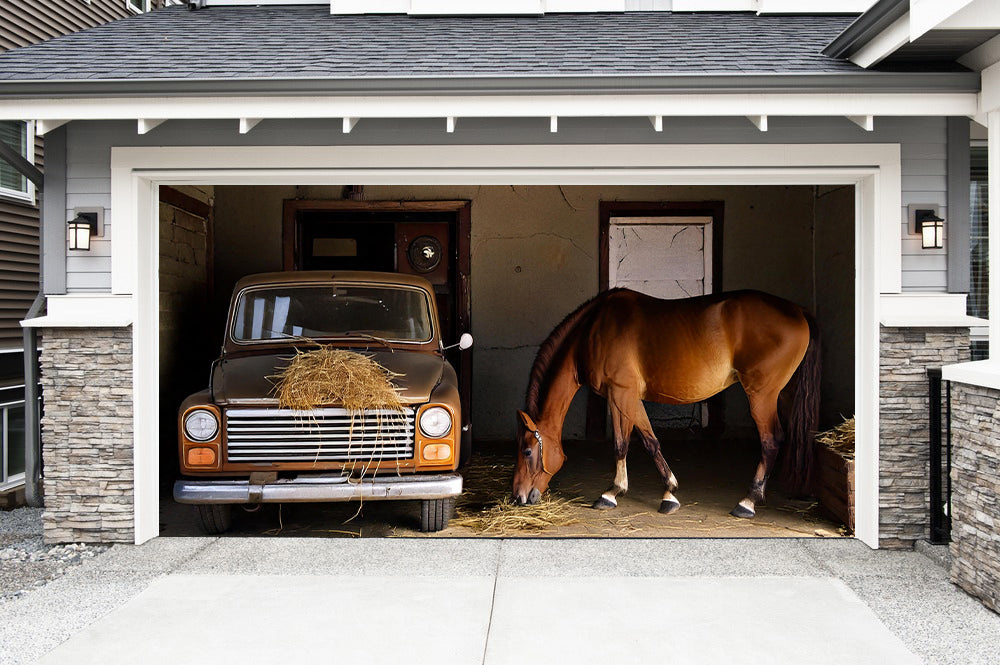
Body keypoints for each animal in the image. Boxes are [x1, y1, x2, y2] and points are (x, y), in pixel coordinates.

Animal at [516, 290, 820, 520]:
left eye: (527, 451)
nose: (519, 497)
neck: (592, 330)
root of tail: (797, 310)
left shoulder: (620, 394)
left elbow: (620, 444)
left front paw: (611, 493)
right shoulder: (631, 398)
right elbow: (650, 442)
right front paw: (669, 493)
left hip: (762, 395)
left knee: (772, 440)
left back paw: (748, 502)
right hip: (784, 394)